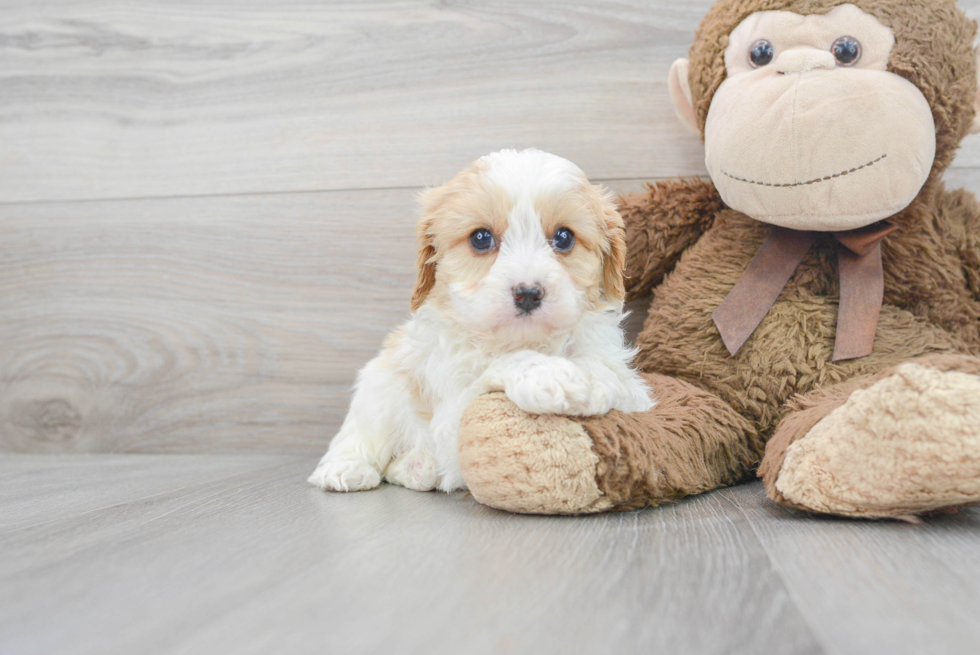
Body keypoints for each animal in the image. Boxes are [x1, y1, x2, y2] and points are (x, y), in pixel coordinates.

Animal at [310, 150, 656, 498]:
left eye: (564, 237)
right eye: (480, 238)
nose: (528, 293)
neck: (523, 340)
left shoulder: (635, 393)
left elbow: (613, 375)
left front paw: (591, 379)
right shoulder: (451, 418)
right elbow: (501, 367)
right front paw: (551, 375)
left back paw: (417, 468)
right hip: (379, 386)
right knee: (360, 435)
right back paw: (346, 468)